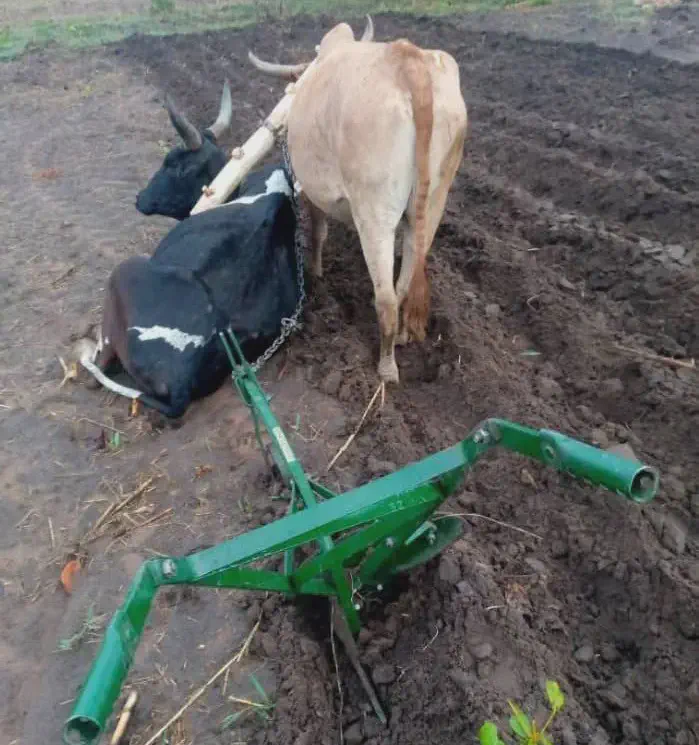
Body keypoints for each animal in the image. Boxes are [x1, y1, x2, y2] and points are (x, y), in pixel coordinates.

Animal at [247, 19, 468, 385]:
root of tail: (408, 61)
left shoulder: (312, 191)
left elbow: (317, 233)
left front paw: (316, 273)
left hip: (373, 212)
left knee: (386, 299)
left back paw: (386, 369)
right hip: (432, 203)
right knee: (405, 281)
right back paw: (403, 338)